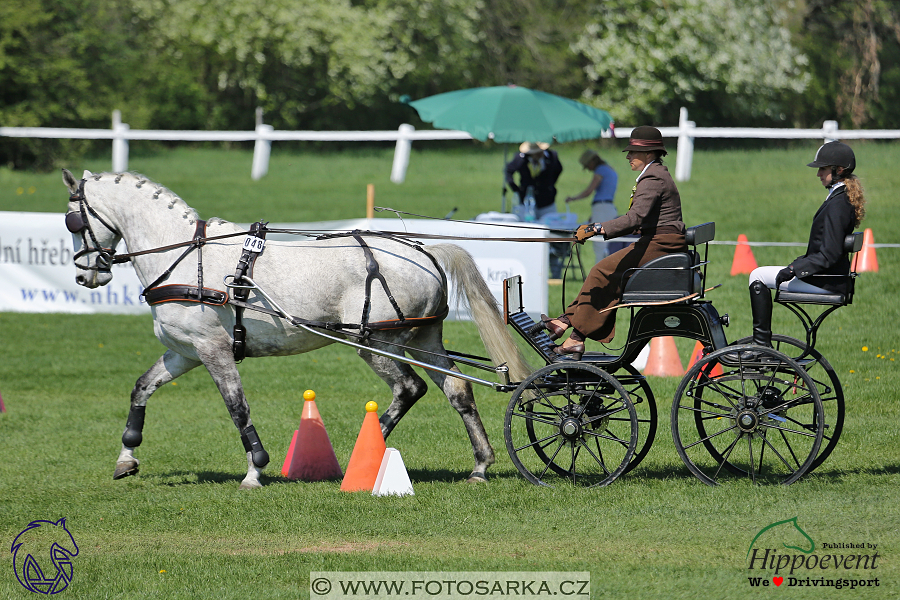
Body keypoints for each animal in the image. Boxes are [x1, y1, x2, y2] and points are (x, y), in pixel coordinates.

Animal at [63, 168, 532, 488]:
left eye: (73, 220)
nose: (86, 275)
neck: (184, 258)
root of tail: (425, 250)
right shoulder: (186, 352)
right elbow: (142, 387)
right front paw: (126, 457)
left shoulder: (213, 349)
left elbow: (237, 408)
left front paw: (255, 470)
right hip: (424, 339)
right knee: (458, 390)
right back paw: (480, 464)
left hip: (376, 343)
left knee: (409, 388)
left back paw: (363, 457)